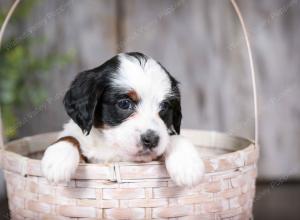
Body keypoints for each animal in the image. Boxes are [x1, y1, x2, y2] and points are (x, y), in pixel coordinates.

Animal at [41, 52, 205, 186]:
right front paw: (57, 160)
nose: (151, 139)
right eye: (124, 104)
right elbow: (69, 137)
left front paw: (187, 166)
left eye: (164, 106)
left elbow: (174, 138)